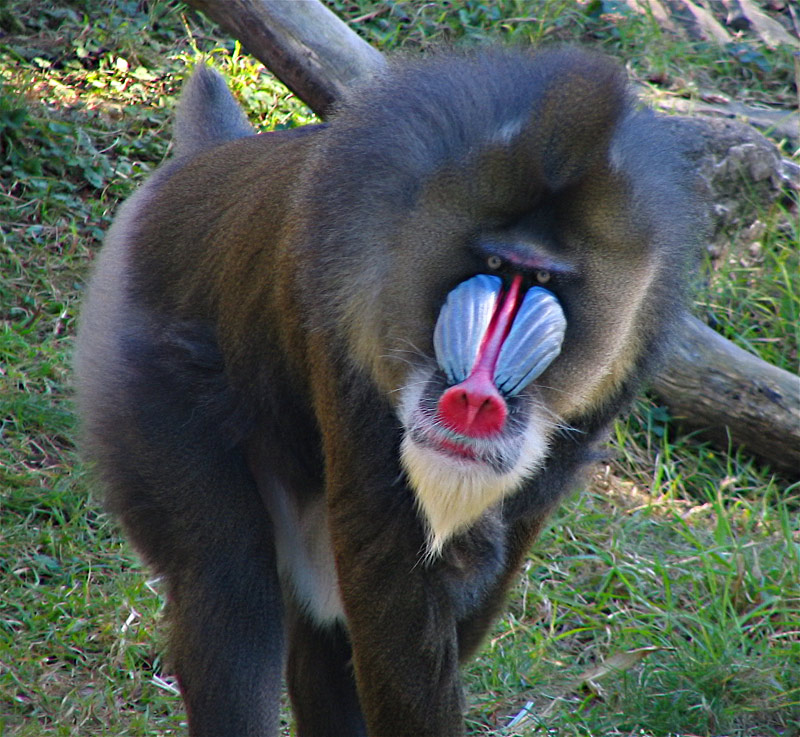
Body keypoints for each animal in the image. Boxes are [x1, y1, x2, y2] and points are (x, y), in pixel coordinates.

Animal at [74, 47, 704, 737]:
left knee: (323, 643)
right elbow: (389, 571)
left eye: (542, 280)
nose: (475, 402)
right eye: (493, 267)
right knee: (228, 589)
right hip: (147, 391)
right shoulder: (349, 327)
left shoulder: (610, 383)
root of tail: (196, 167)